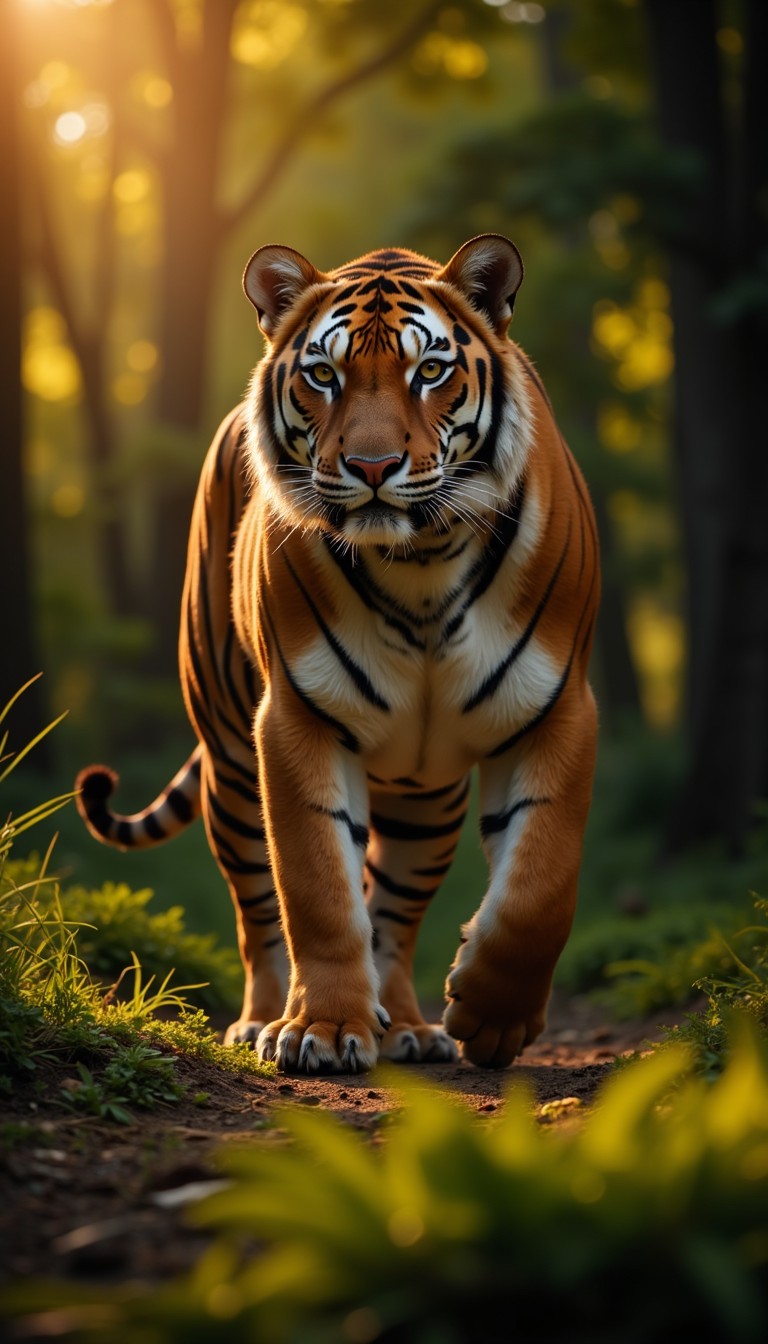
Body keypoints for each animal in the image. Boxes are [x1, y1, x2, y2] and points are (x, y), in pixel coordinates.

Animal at [76, 233, 599, 1075]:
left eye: (430, 371)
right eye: (324, 375)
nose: (374, 467)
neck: (420, 565)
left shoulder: (559, 710)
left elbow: (540, 885)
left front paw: (491, 1018)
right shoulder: (296, 722)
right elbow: (318, 891)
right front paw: (320, 1031)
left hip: (427, 798)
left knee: (396, 914)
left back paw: (409, 1028)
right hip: (232, 767)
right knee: (258, 909)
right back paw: (264, 1020)